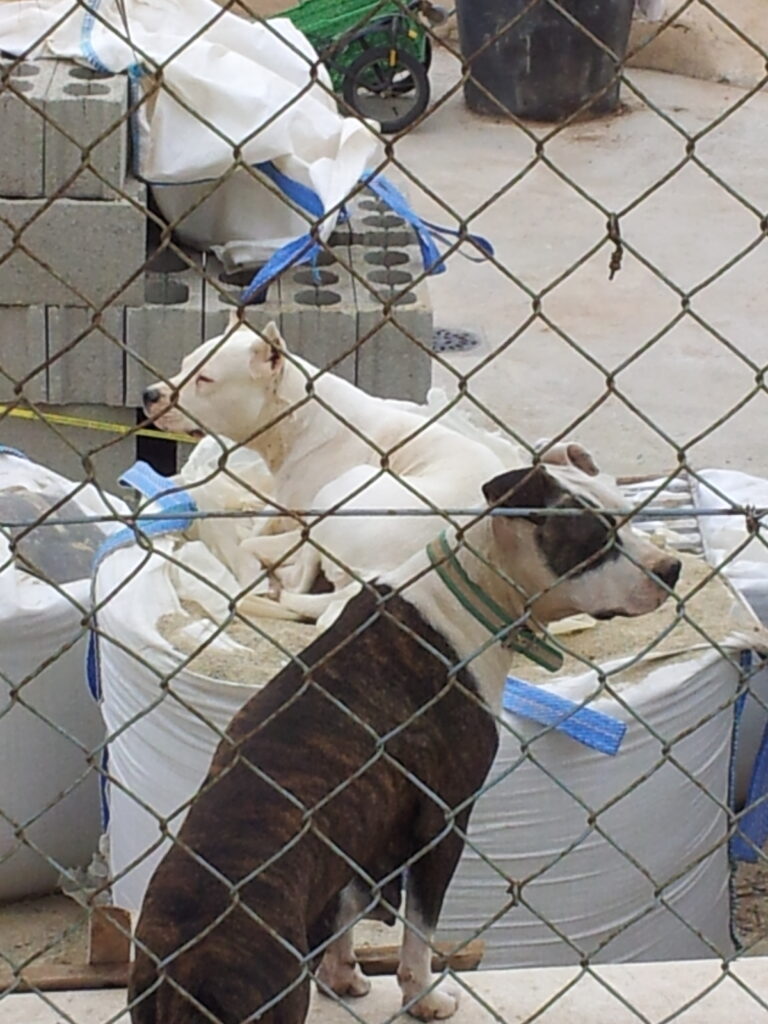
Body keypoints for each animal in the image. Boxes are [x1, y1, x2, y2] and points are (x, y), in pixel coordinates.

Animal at [129, 458, 681, 1024]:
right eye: (595, 538)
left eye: (629, 516)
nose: (671, 568)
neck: (470, 594)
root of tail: (182, 964)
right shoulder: (442, 824)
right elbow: (420, 932)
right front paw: (425, 998)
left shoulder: (367, 830)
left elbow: (347, 908)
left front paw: (343, 976)